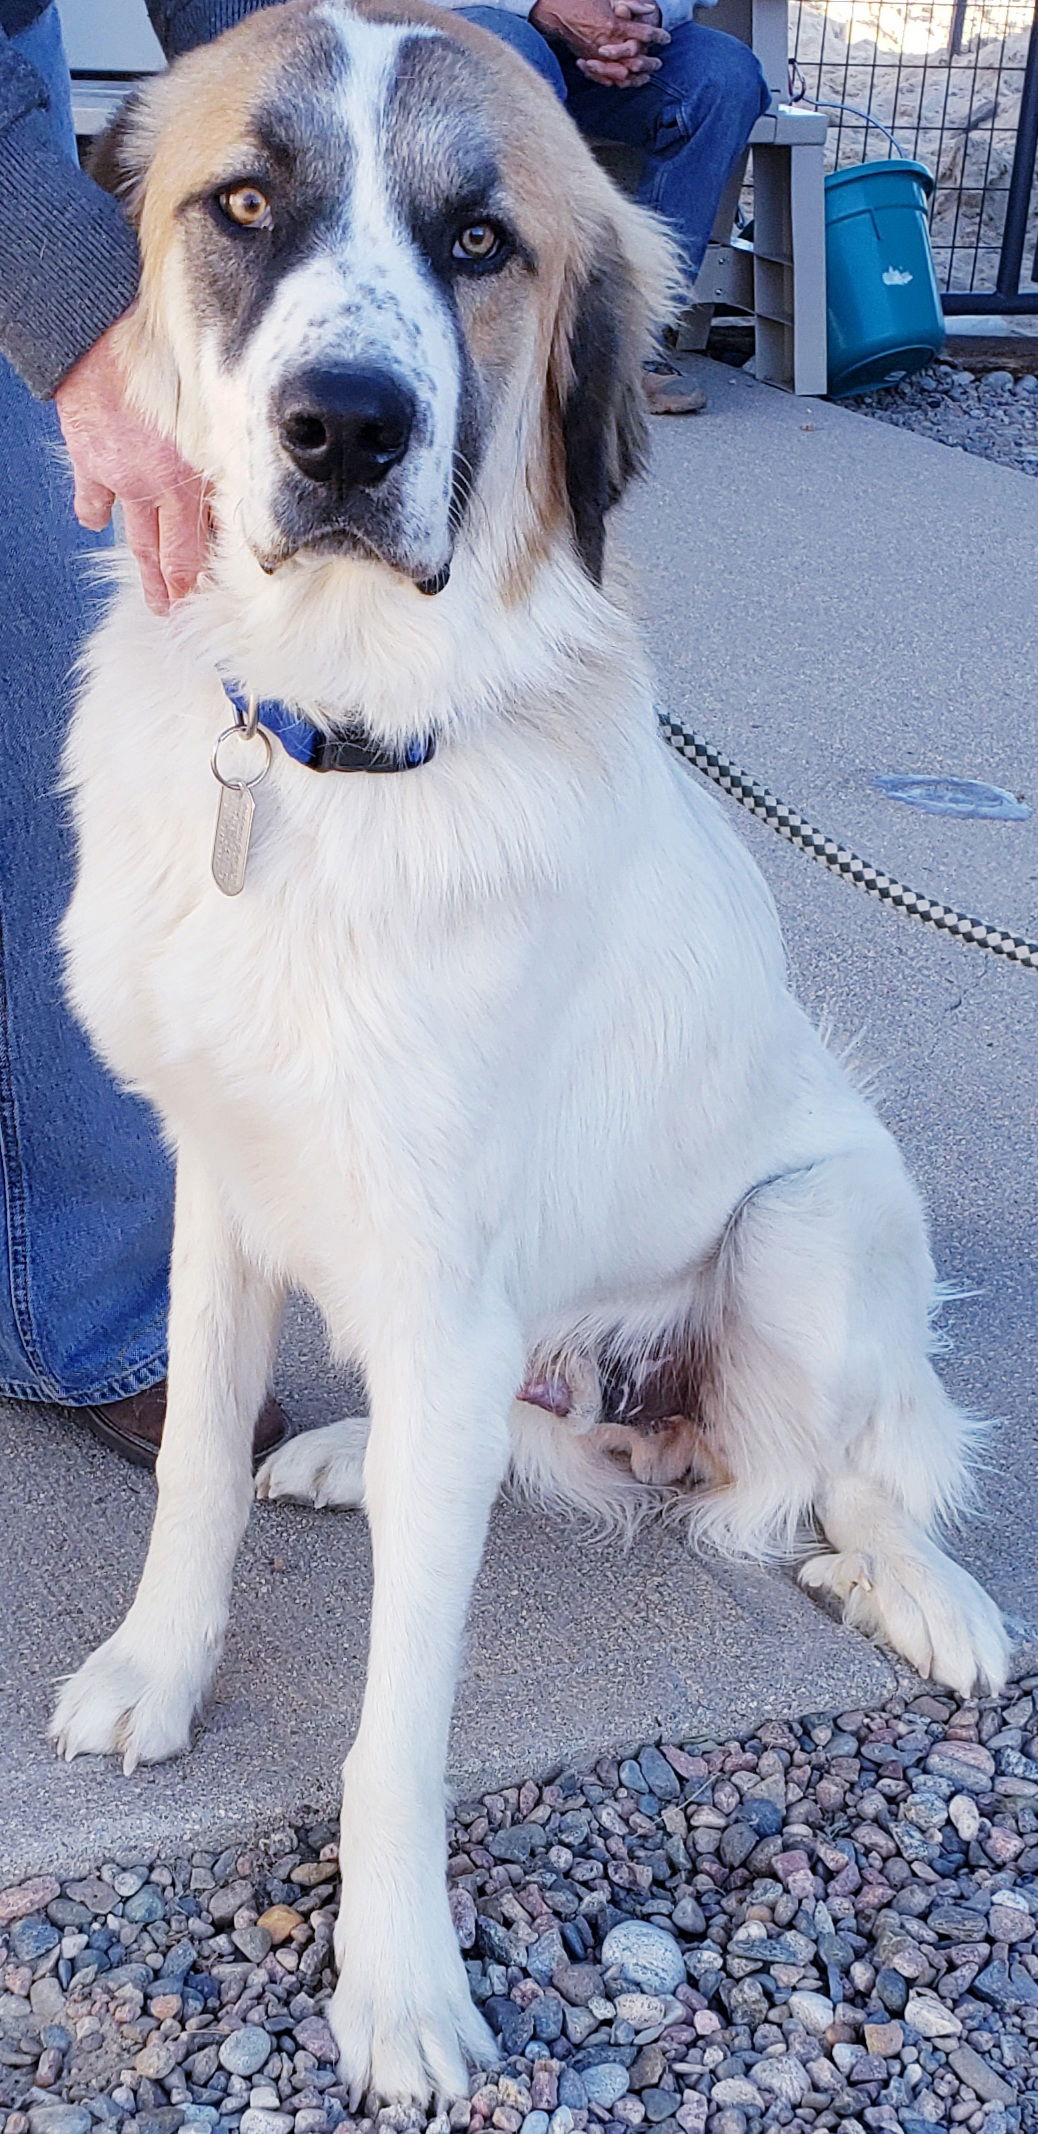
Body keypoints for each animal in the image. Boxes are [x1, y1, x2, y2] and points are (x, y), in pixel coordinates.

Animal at [52, 0, 1008, 2099]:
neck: (334, 747)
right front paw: (159, 1667)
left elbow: (401, 1709)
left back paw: (918, 1591)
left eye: (477, 244)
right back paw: (346, 1457)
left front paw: (398, 1981)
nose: (344, 428)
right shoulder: (223, 1185)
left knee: (837, 1477)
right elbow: (191, 1480)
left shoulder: (438, 1274)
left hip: (811, 1217)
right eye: (243, 205)